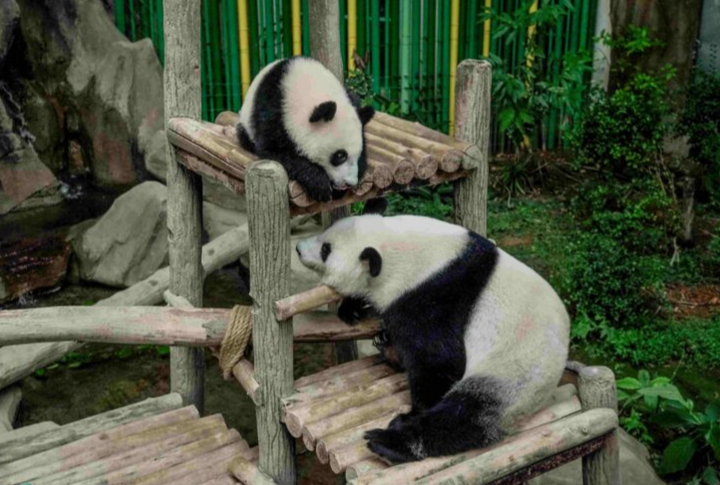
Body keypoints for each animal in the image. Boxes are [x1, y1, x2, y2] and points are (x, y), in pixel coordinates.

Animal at [237, 57, 375, 202]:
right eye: (340, 155)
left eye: (358, 152)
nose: (350, 182)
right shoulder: (274, 114)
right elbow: (275, 151)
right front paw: (320, 184)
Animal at [296, 214, 570, 463]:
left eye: (326, 249)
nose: (298, 248)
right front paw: (353, 308)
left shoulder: (436, 296)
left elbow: (438, 360)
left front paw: (414, 411)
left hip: (515, 371)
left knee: (466, 415)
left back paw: (391, 442)